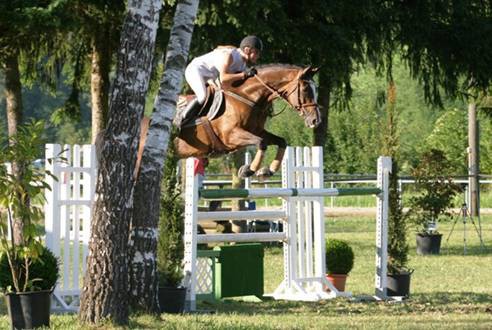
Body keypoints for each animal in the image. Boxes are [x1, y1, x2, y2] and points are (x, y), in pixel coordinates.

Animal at [173, 64, 322, 178]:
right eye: (305, 89)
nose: (316, 120)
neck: (247, 97)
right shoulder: (230, 136)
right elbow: (261, 143)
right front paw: (248, 170)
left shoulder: (257, 131)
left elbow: (281, 141)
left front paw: (268, 170)